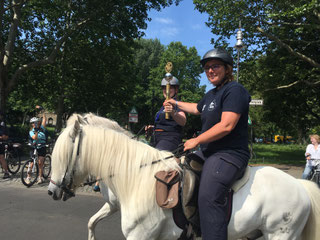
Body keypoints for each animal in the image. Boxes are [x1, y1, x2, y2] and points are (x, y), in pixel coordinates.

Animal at [47, 118, 320, 240]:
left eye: (63, 154)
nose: (51, 191)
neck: (136, 175)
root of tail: (300, 186)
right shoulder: (115, 206)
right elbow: (92, 222)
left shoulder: (140, 235)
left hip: (280, 235)